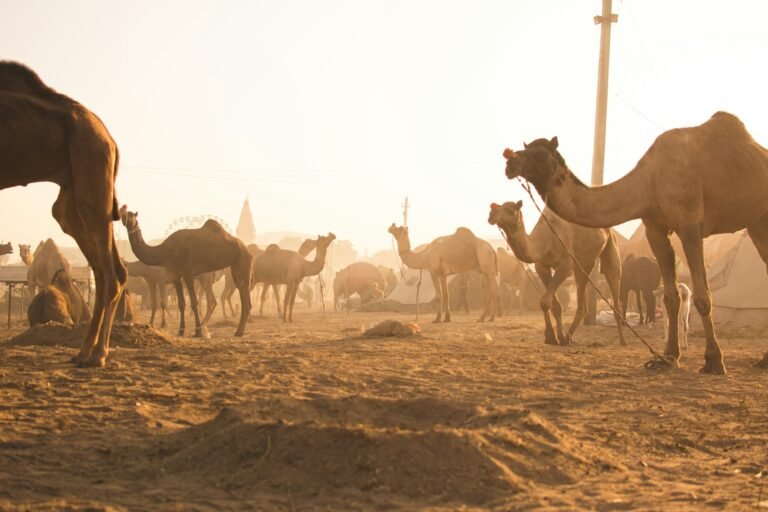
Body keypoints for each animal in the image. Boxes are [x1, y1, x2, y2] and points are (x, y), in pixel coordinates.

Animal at [1, 62, 125, 367]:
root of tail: (110, 138)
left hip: (92, 169)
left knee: (112, 272)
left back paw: (98, 355)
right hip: (72, 199)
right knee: (103, 270)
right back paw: (83, 352)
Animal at [120, 206, 252, 338]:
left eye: (131, 216)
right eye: (123, 213)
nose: (123, 217)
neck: (165, 250)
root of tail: (246, 249)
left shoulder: (187, 272)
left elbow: (194, 302)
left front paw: (197, 331)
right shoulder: (175, 275)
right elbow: (181, 303)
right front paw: (181, 330)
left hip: (241, 261)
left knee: (242, 293)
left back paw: (238, 331)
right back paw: (237, 330)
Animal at [488, 201, 626, 346]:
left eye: (510, 210)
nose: (491, 214)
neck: (546, 239)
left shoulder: (565, 265)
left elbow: (545, 301)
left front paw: (553, 336)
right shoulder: (542, 266)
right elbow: (553, 304)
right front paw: (554, 337)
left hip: (611, 244)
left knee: (613, 277)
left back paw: (622, 340)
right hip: (583, 263)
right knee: (582, 301)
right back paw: (568, 338)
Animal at [502, 112, 768, 373]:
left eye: (539, 153)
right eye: (525, 147)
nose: (509, 162)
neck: (649, 182)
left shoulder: (690, 225)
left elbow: (703, 296)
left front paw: (713, 361)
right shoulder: (654, 229)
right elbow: (670, 296)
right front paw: (668, 357)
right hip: (757, 223)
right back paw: (763, 360)